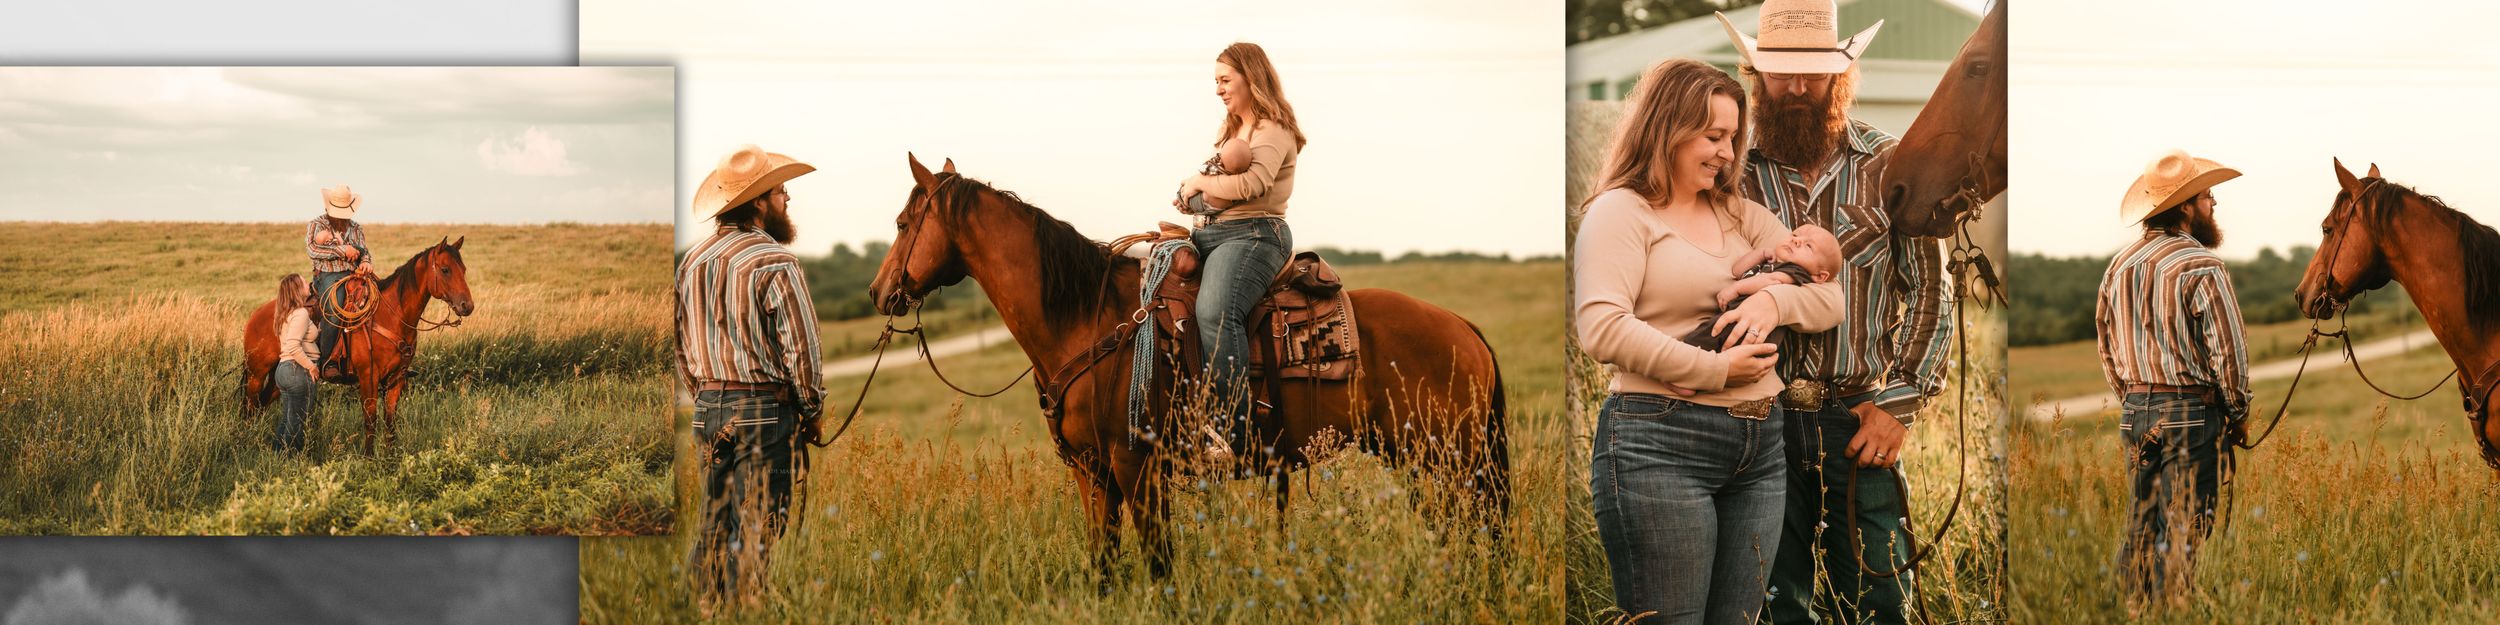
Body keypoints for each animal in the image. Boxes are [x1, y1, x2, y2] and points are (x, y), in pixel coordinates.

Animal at [242, 237, 475, 454]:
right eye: (445, 270)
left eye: (464, 270)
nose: (467, 306)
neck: (392, 315)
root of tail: (256, 315)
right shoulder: (368, 376)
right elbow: (370, 420)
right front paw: (369, 459)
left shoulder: (396, 379)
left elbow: (390, 422)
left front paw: (390, 459)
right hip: (256, 373)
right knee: (251, 407)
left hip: (278, 377)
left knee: (261, 404)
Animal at [866, 154, 1508, 586]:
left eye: (901, 223)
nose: (878, 292)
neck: (1087, 320)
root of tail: (1463, 327)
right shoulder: (1092, 473)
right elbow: (1104, 566)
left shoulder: (1137, 466)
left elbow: (1160, 566)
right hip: (1423, 462)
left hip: (1448, 461)